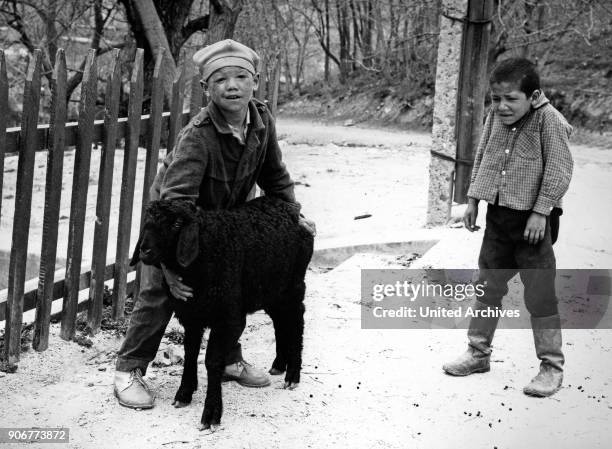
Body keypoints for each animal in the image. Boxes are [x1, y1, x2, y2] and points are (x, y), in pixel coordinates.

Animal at [128, 195, 310, 428]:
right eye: (147, 221)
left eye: (177, 224)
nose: (145, 251)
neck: (207, 250)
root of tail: (292, 208)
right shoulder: (192, 316)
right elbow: (190, 353)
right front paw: (184, 393)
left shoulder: (228, 318)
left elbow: (212, 361)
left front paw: (211, 413)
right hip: (271, 289)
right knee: (281, 321)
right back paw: (279, 364)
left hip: (292, 285)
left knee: (296, 320)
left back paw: (293, 374)